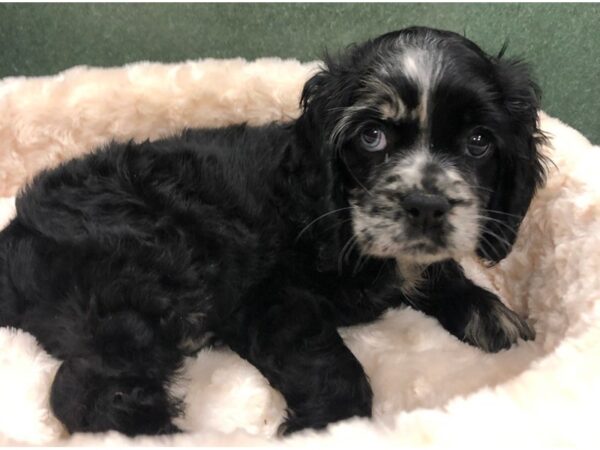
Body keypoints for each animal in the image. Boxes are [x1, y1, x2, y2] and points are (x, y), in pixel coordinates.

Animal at [0, 27, 548, 436]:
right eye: (371, 136)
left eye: (479, 141)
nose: (426, 206)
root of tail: (16, 232)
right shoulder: (271, 298)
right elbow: (328, 363)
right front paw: (327, 426)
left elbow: (440, 274)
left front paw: (497, 320)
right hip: (154, 274)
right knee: (81, 391)